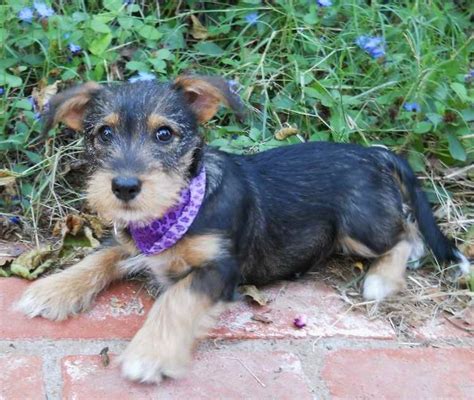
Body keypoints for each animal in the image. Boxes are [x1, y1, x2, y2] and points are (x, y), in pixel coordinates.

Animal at [17, 76, 470, 384]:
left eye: (164, 133)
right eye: (104, 133)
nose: (124, 187)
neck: (176, 208)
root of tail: (376, 154)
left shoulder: (221, 269)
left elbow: (176, 299)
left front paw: (151, 353)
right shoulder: (132, 242)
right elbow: (101, 254)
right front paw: (51, 289)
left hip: (356, 224)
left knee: (405, 233)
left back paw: (381, 279)